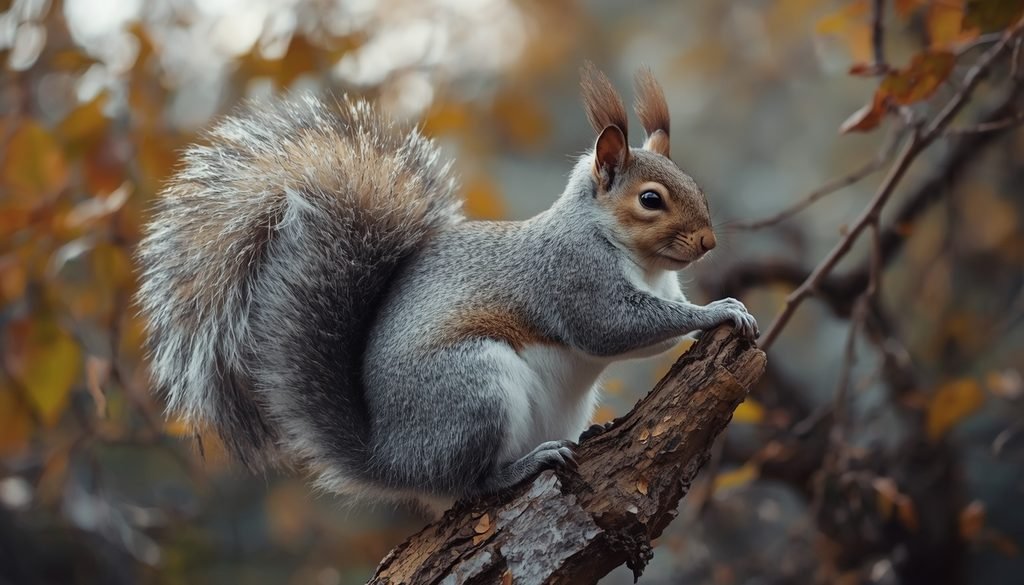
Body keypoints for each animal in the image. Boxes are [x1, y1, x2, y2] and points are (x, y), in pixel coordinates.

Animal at [136, 63, 758, 509]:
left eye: (694, 184)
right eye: (650, 200)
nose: (708, 242)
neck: (638, 260)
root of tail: (391, 457)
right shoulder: (574, 278)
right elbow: (616, 328)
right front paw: (719, 312)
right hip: (472, 388)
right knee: (468, 482)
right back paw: (521, 467)